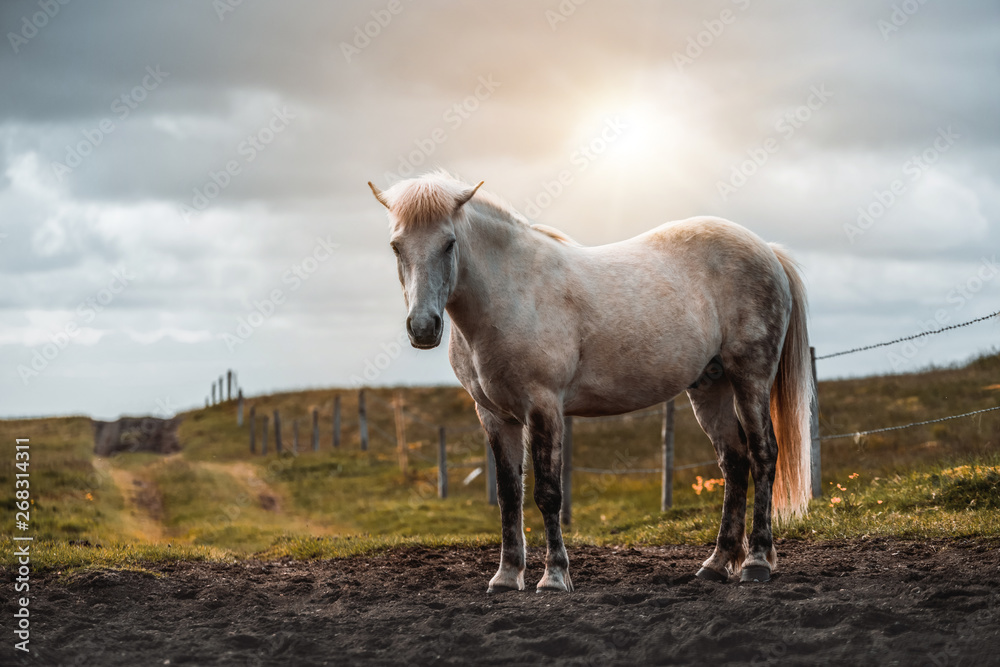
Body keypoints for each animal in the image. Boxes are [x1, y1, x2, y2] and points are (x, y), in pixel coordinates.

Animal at [368, 174, 812, 596]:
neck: (510, 293)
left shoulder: (544, 407)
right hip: (709, 387)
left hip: (750, 377)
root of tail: (767, 250)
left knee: (763, 454)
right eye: (396, 246)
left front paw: (554, 577)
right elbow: (509, 495)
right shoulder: (495, 416)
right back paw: (717, 565)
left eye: (449, 243)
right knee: (735, 463)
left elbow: (548, 494)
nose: (423, 327)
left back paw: (756, 561)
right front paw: (507, 577)